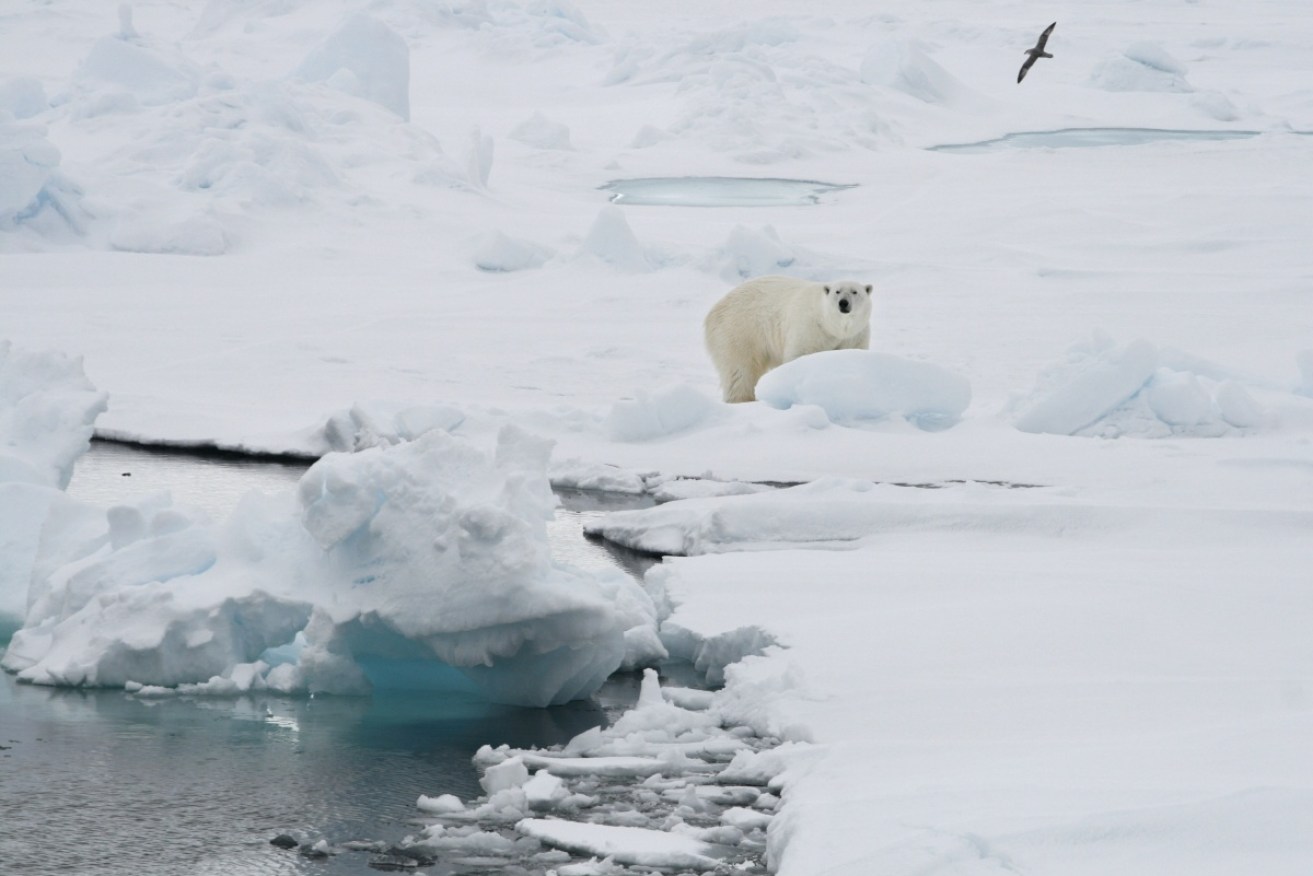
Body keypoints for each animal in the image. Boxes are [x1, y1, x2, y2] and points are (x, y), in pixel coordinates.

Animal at [704, 275, 873, 403]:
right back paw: (743, 399)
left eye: (855, 292)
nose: (843, 303)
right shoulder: (809, 328)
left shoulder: (855, 335)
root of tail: (714, 310)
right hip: (739, 330)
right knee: (740, 369)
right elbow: (799, 355)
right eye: (837, 292)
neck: (830, 325)